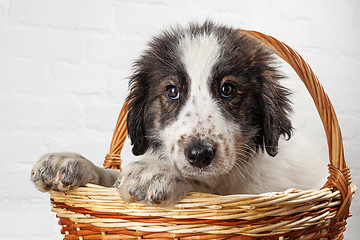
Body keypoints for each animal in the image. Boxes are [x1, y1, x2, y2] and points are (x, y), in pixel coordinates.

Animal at [31, 22, 330, 206]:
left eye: (228, 89)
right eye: (172, 91)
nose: (199, 154)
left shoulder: (258, 194)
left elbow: (204, 187)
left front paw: (155, 173)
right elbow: (111, 176)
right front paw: (69, 162)